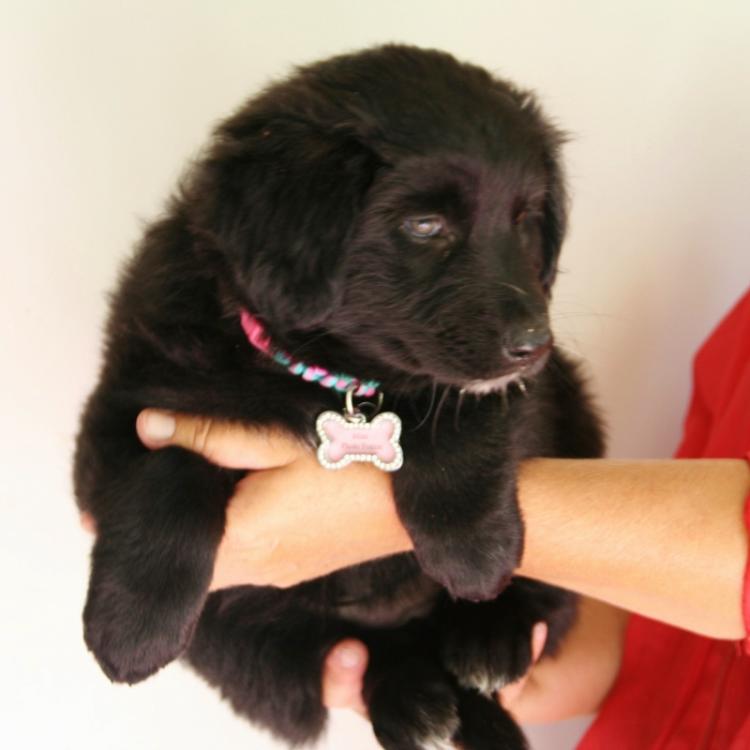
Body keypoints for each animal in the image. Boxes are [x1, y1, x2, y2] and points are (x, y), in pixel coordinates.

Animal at [74, 45, 603, 749]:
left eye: (525, 221)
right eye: (425, 225)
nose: (533, 343)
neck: (325, 376)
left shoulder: (523, 391)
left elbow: (461, 414)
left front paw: (473, 549)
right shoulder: (121, 411)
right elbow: (171, 466)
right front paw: (133, 625)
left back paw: (488, 640)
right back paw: (414, 702)